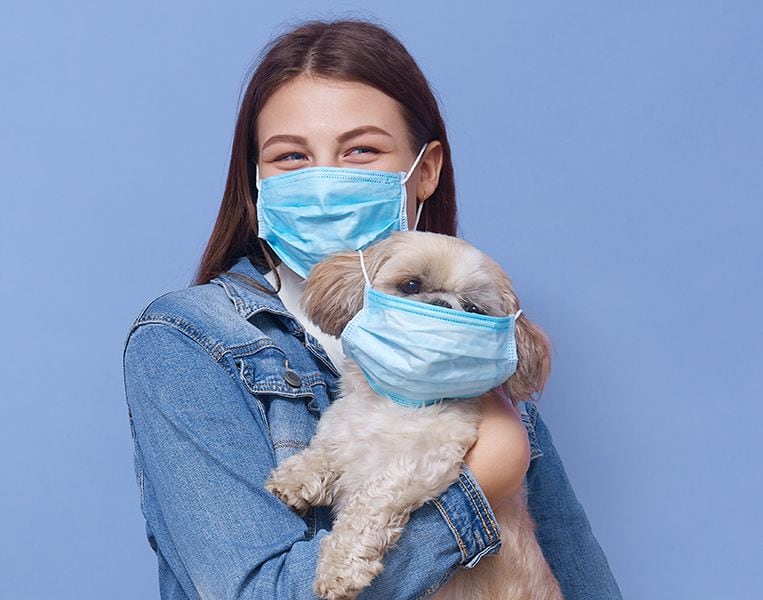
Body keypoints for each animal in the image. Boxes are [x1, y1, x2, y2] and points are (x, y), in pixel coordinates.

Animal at [266, 231, 564, 600]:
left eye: (474, 310)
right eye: (411, 285)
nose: (442, 306)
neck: (400, 403)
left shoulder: (425, 459)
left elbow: (371, 500)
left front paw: (340, 565)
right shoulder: (345, 424)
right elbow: (326, 448)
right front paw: (297, 476)